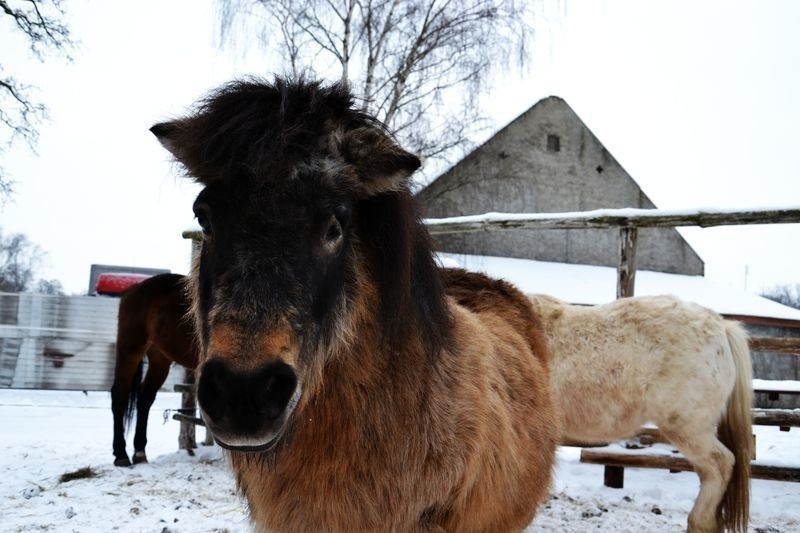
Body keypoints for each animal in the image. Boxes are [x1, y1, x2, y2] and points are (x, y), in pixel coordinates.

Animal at [110, 274, 198, 466]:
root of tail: (133, 290)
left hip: (160, 359)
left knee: (144, 398)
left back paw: (139, 452)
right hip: (129, 349)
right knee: (120, 395)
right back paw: (121, 454)